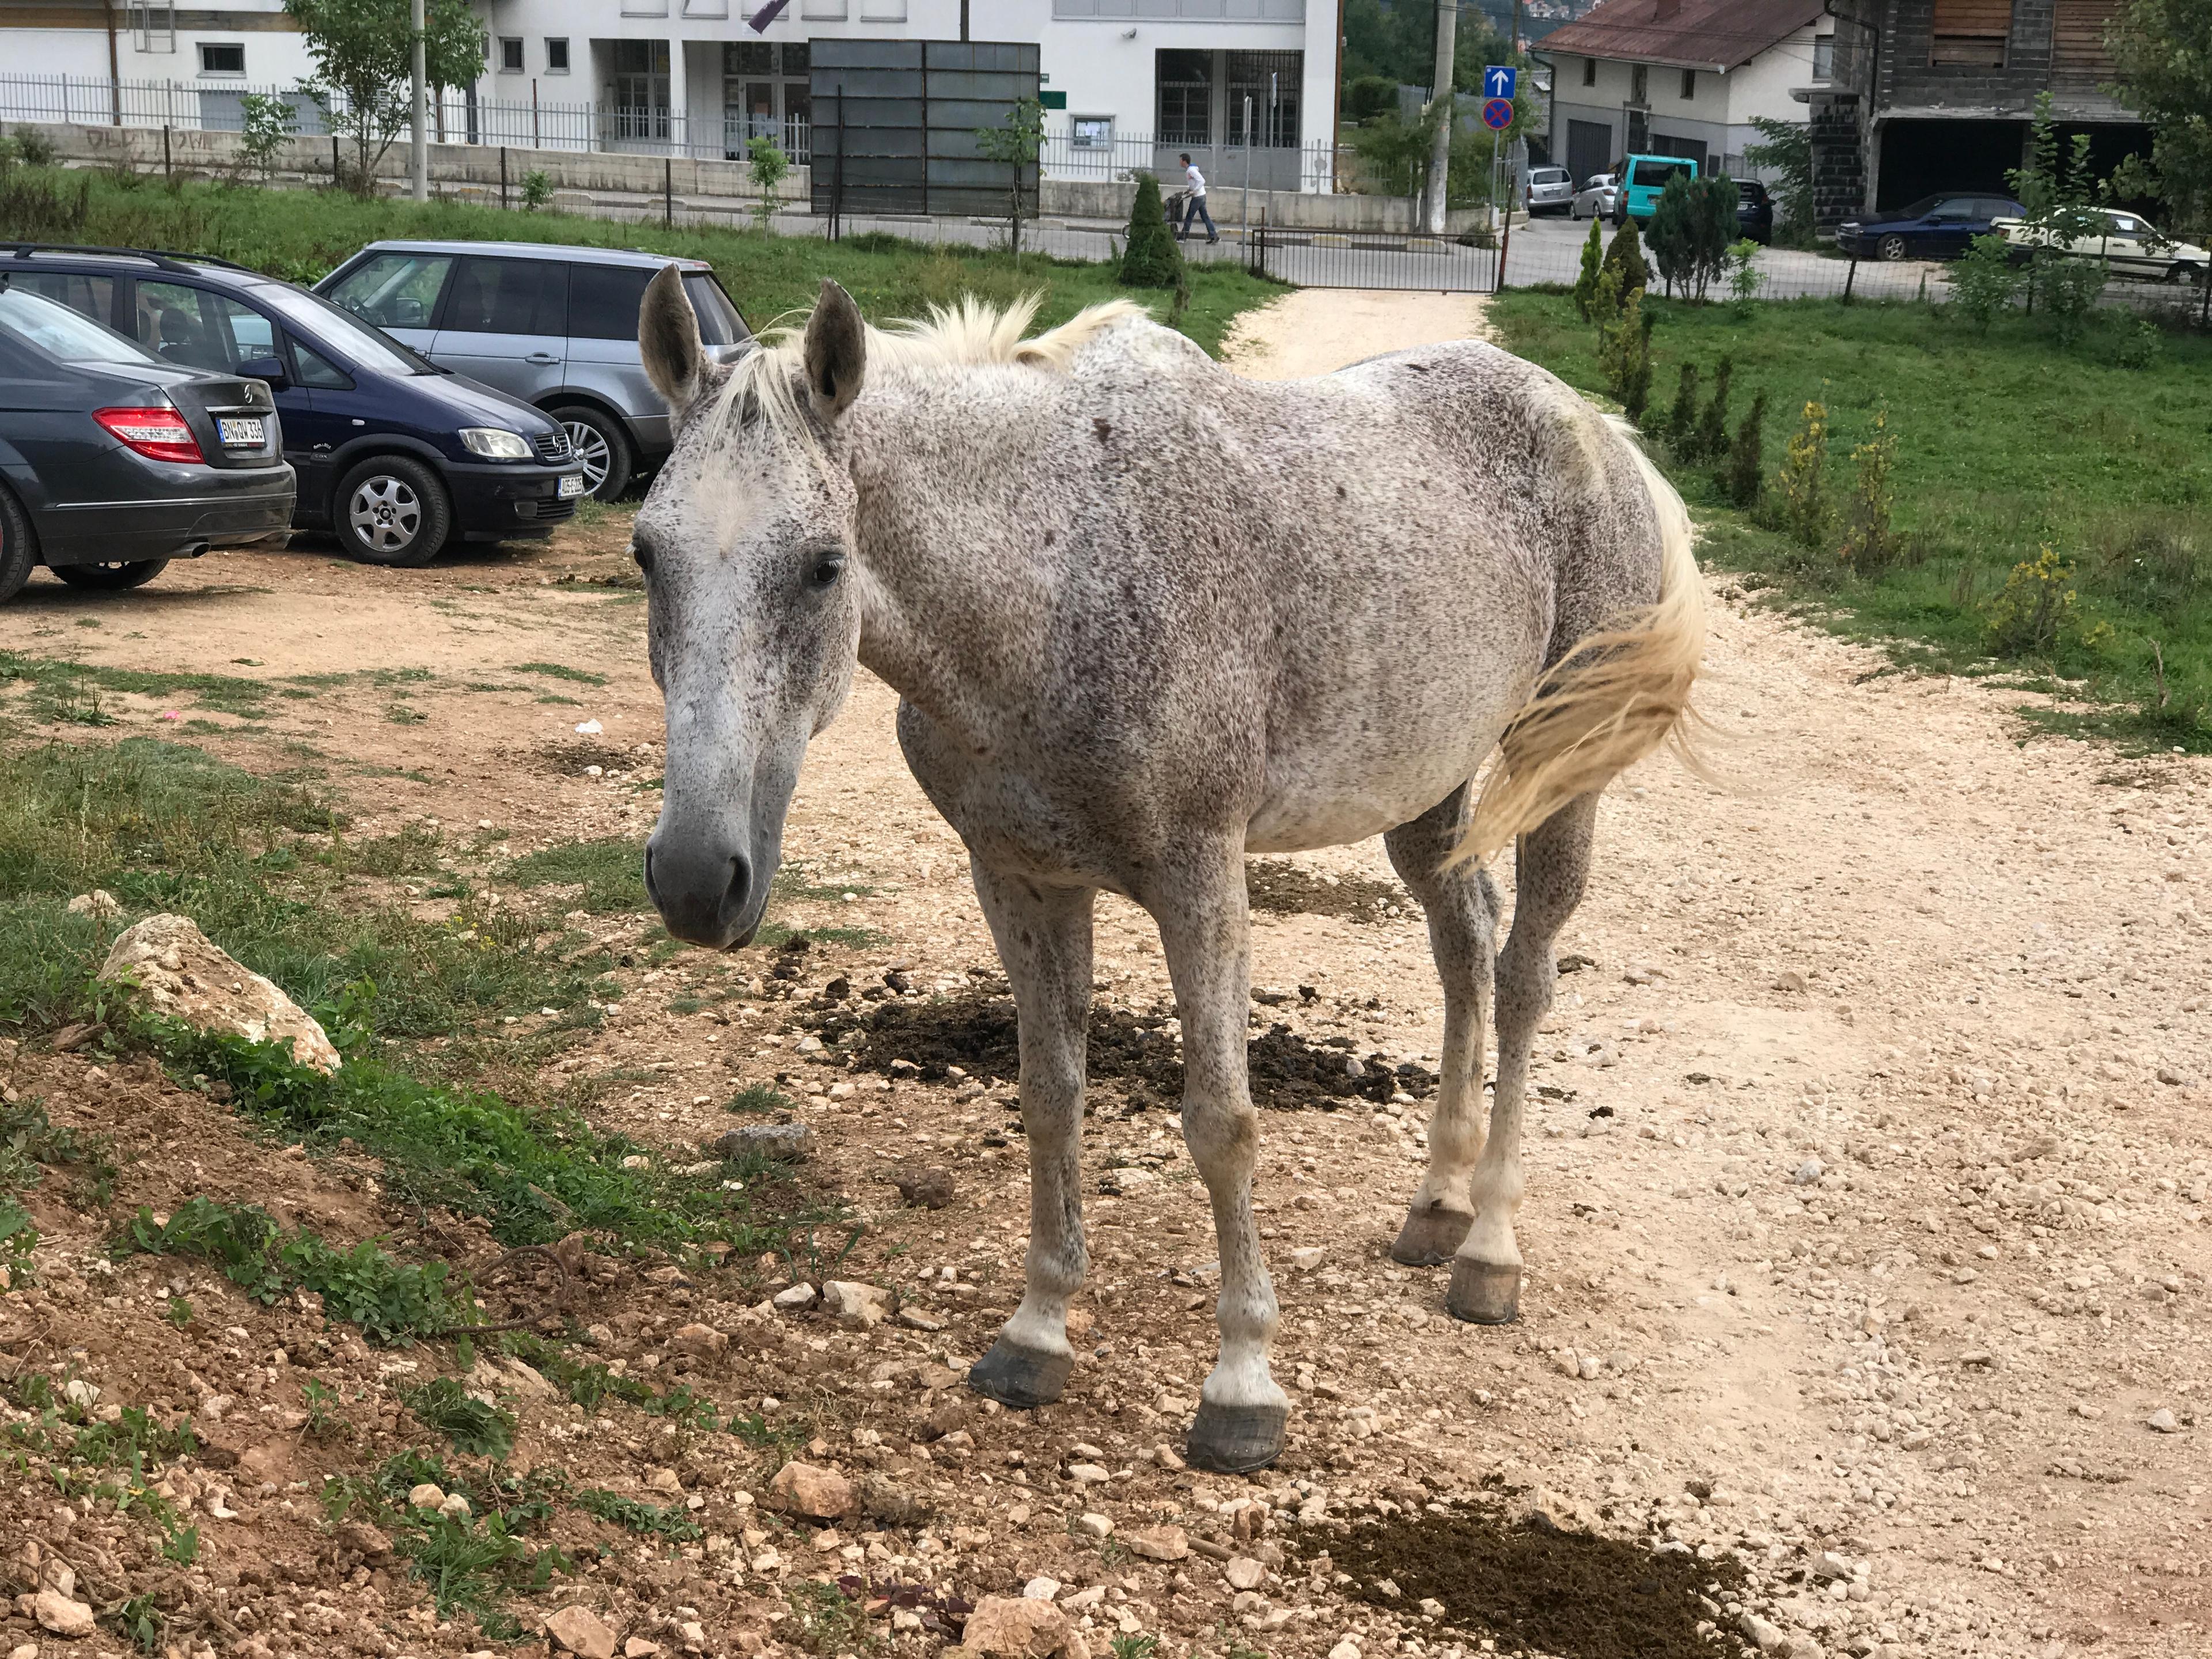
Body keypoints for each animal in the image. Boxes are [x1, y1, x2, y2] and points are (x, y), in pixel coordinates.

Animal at [632, 279, 1699, 1478]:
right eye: (645, 554)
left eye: (824, 564)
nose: (694, 879)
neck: (1055, 579)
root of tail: (1598, 428)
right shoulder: (1021, 881)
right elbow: (1051, 1097)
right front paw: (1037, 1333)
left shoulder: (1202, 881)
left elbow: (1221, 1123)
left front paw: (1243, 1386)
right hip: (1427, 793)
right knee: (1464, 947)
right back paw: (1436, 1207)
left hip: (1561, 772)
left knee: (1522, 979)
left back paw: (1490, 1251)